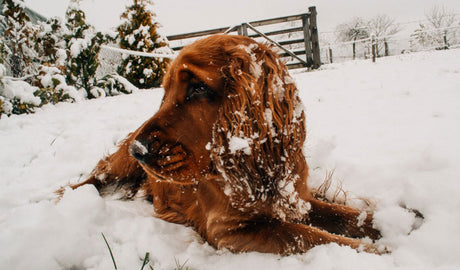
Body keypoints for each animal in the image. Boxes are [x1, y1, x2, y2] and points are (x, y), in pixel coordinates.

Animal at [71, 34, 380, 255]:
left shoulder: (297, 199)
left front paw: (382, 225)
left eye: (198, 88)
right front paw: (372, 251)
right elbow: (307, 236)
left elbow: (346, 215)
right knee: (92, 177)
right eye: (165, 92)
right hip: (116, 166)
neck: (256, 171)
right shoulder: (230, 230)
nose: (138, 151)